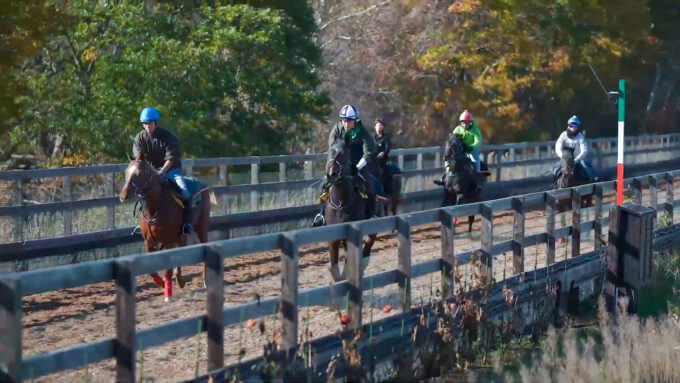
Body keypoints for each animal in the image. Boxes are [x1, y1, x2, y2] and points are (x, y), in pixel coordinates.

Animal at [119, 158, 210, 302]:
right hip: (181, 235)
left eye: (140, 173)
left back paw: (204, 281)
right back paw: (179, 280)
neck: (156, 207)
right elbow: (151, 270)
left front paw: (168, 294)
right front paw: (161, 283)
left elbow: (168, 270)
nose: (123, 196)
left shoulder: (169, 241)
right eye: (126, 171)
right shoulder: (148, 242)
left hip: (202, 228)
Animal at [322, 142, 378, 282]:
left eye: (344, 154)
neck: (341, 201)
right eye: (330, 152)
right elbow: (335, 268)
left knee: (370, 239)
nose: (331, 174)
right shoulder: (333, 236)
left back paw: (363, 263)